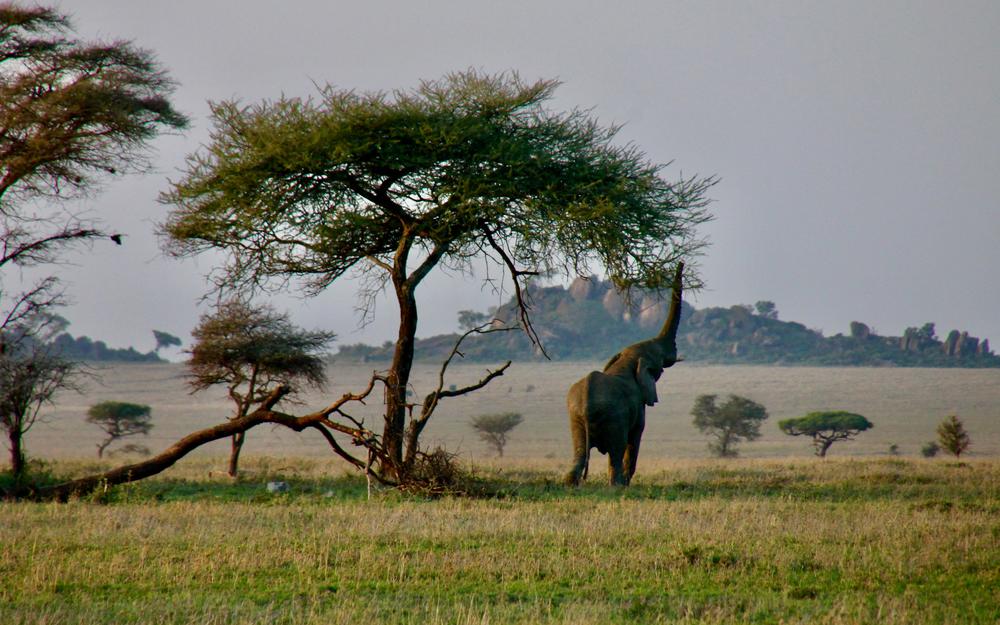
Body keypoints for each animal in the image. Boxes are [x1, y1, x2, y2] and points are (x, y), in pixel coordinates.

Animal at [565, 263, 684, 486]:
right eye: (659, 361)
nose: (681, 262)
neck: (627, 360)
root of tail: (585, 403)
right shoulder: (638, 405)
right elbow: (635, 438)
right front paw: (626, 483)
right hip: (614, 416)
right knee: (617, 449)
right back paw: (617, 486)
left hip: (575, 417)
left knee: (579, 452)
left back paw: (571, 484)